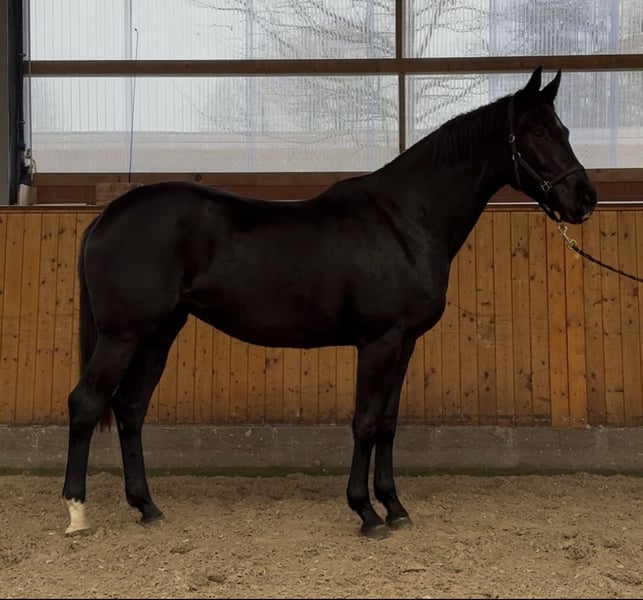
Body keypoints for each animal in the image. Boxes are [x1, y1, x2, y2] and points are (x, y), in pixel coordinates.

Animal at [61, 66, 596, 539]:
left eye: (565, 129)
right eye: (537, 130)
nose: (585, 198)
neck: (403, 220)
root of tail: (107, 216)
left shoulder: (404, 344)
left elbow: (387, 423)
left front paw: (395, 507)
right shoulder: (379, 342)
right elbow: (364, 422)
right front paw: (366, 513)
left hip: (159, 334)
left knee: (130, 408)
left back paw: (147, 507)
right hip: (122, 336)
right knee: (86, 403)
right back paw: (77, 513)